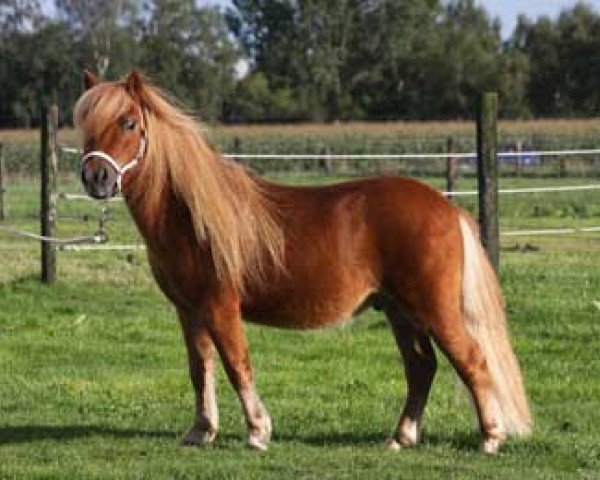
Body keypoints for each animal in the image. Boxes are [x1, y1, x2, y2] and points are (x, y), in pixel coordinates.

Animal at [77, 69, 532, 452]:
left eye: (128, 122)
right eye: (85, 124)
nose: (96, 177)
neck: (191, 215)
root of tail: (446, 207)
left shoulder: (221, 307)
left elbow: (237, 365)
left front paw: (258, 432)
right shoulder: (189, 311)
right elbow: (200, 369)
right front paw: (201, 431)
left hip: (434, 308)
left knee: (472, 361)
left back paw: (490, 439)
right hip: (400, 311)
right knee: (422, 368)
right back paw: (400, 438)